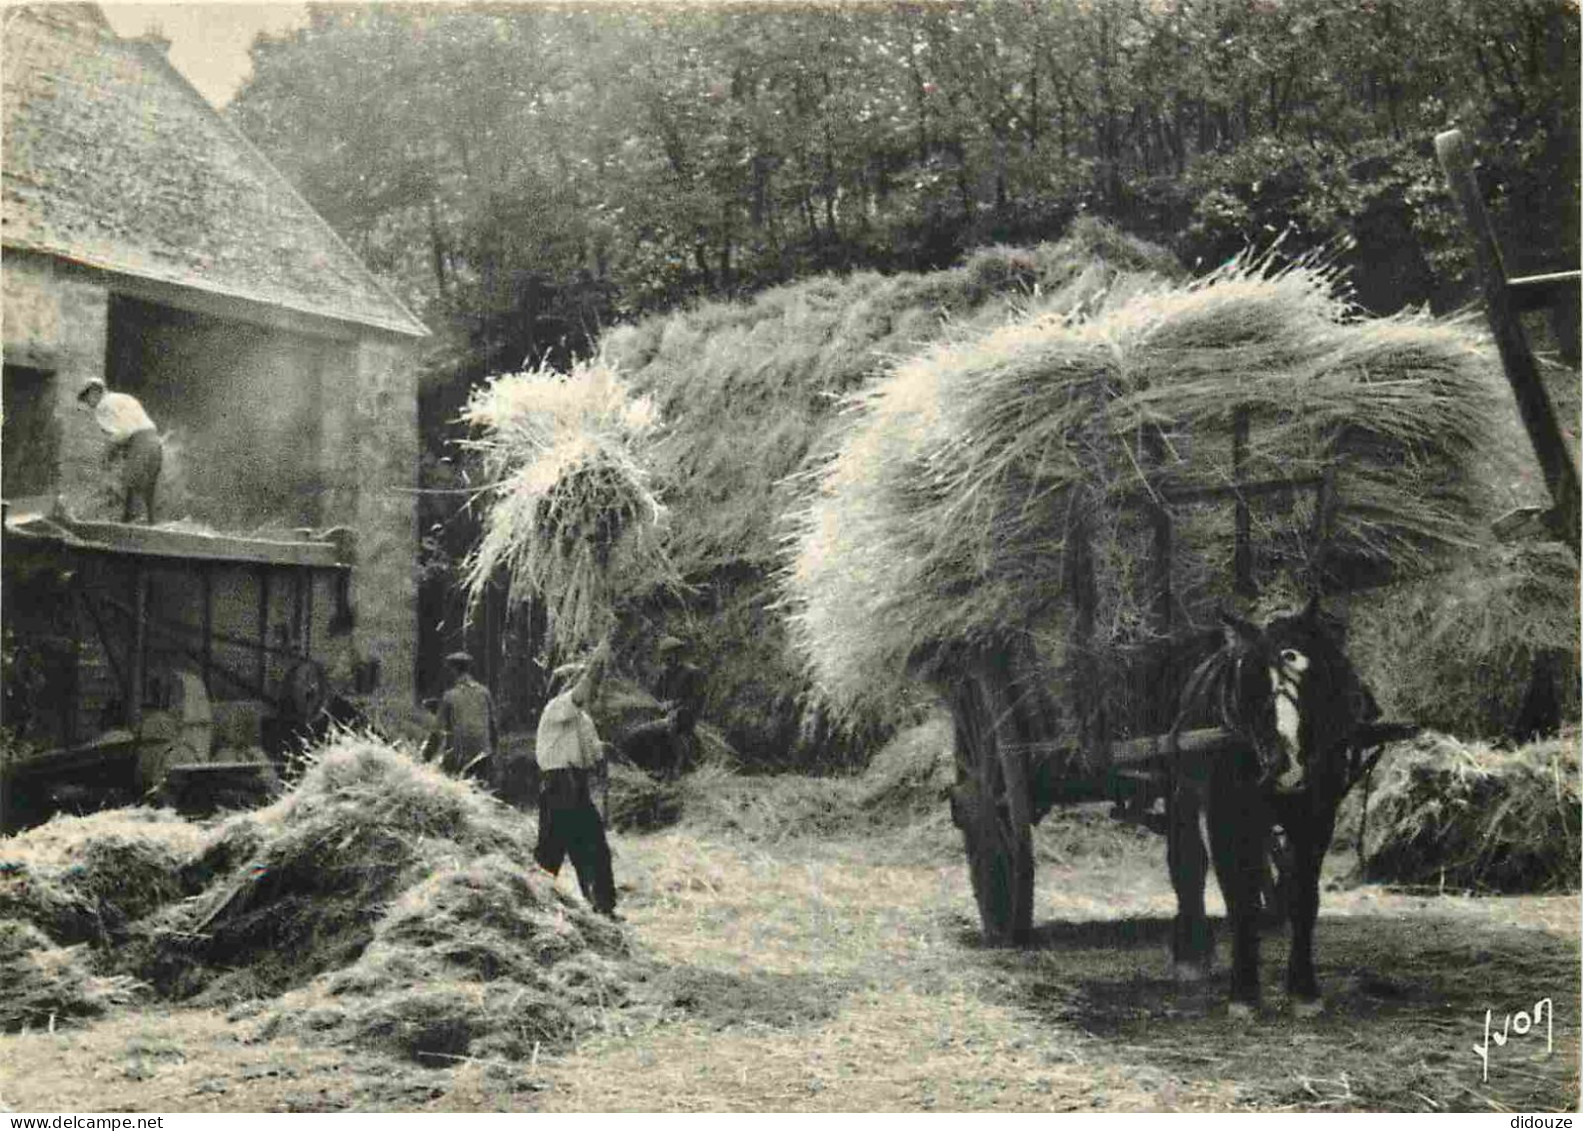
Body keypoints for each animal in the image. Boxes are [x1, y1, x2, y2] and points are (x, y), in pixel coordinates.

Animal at [1171, 595, 1380, 1020]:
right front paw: (1244, 993)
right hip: (1187, 795)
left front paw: (1304, 991)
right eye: (1250, 680)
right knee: (1189, 866)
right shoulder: (1225, 819)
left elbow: (1303, 898)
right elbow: (1239, 899)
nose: (1287, 765)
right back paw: (1191, 954)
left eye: (1312, 673)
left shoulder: (1316, 817)